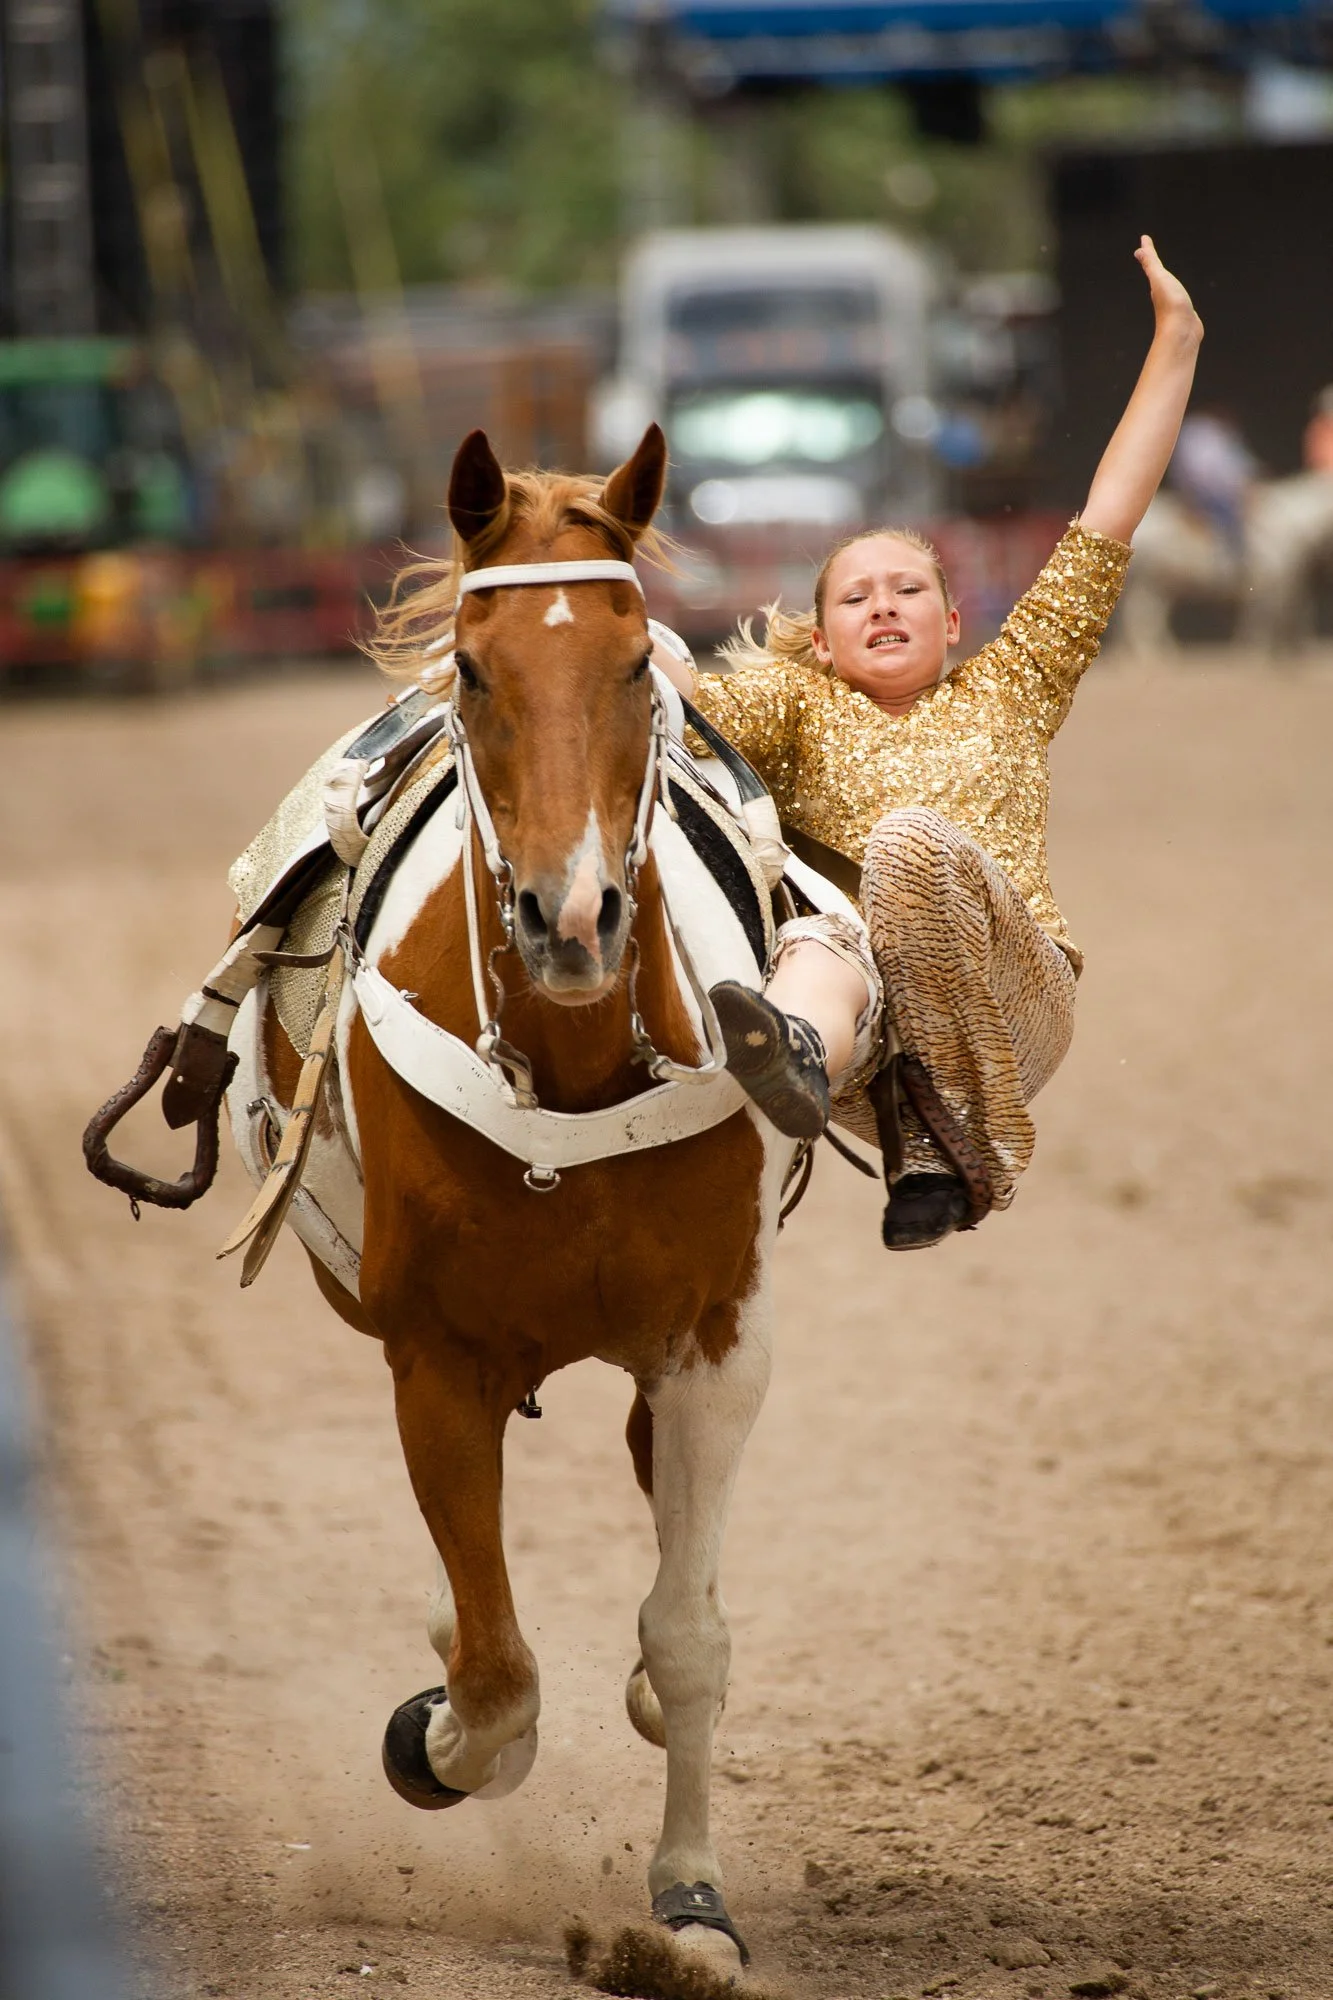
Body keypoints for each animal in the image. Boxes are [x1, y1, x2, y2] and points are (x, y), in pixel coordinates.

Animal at [254, 423, 792, 1973]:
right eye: (478, 671)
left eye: (633, 668)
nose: (573, 919)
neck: (571, 1071)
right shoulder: (435, 1360)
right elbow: (495, 1687)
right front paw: (430, 1724)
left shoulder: (719, 1342)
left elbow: (688, 1636)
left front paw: (690, 1904)